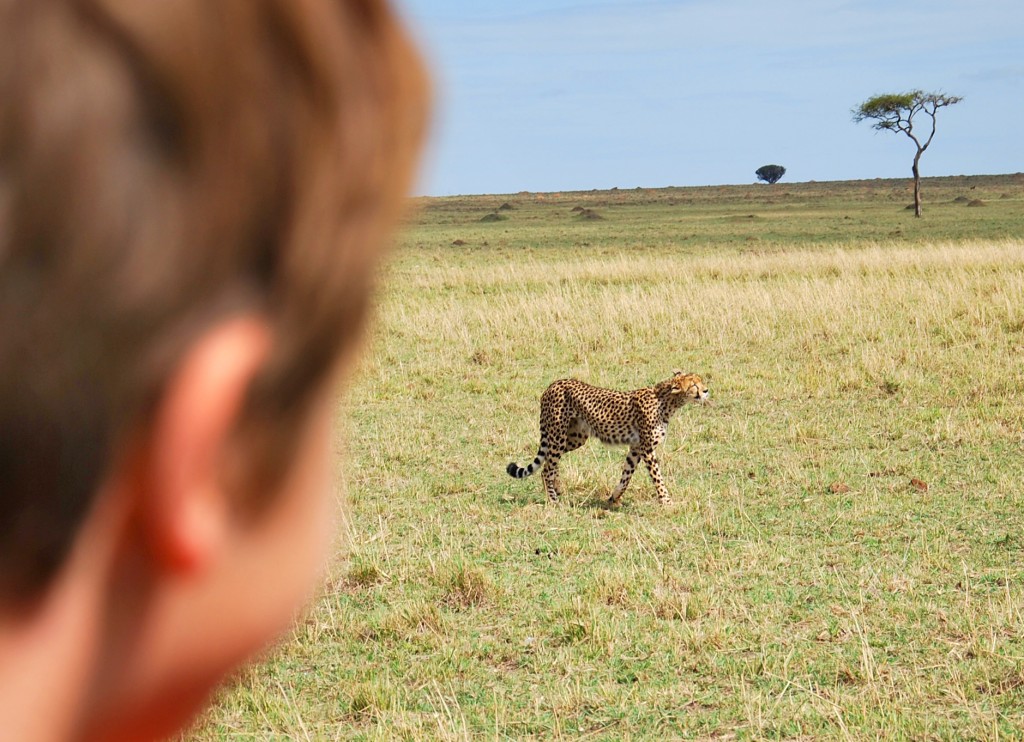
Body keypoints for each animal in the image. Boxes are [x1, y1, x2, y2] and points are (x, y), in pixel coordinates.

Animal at [507, 368, 708, 503]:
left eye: (700, 381)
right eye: (694, 385)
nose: (706, 391)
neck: (668, 402)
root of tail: (552, 384)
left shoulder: (636, 447)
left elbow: (626, 475)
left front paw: (614, 497)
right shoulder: (647, 448)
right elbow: (657, 476)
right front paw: (666, 501)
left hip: (574, 438)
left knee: (550, 462)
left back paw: (558, 488)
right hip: (558, 435)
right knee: (547, 467)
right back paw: (553, 499)